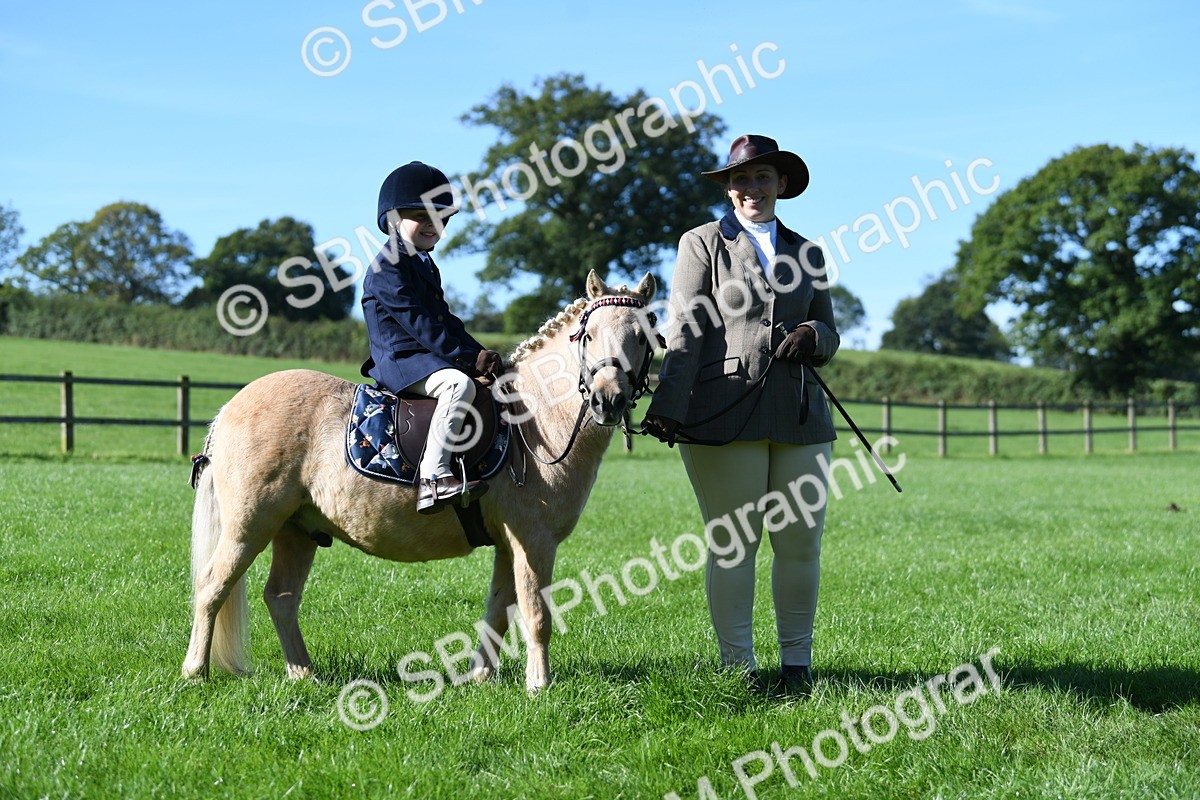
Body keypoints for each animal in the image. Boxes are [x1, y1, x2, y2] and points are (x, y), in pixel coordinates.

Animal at [182, 270, 657, 693]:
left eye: (643, 337)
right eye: (588, 335)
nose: (609, 400)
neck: (534, 416)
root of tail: (229, 409)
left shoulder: (509, 545)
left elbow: (497, 612)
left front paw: (481, 677)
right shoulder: (533, 541)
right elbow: (536, 614)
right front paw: (539, 685)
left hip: (296, 530)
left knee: (280, 599)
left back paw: (304, 675)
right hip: (249, 526)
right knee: (211, 588)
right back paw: (195, 673)